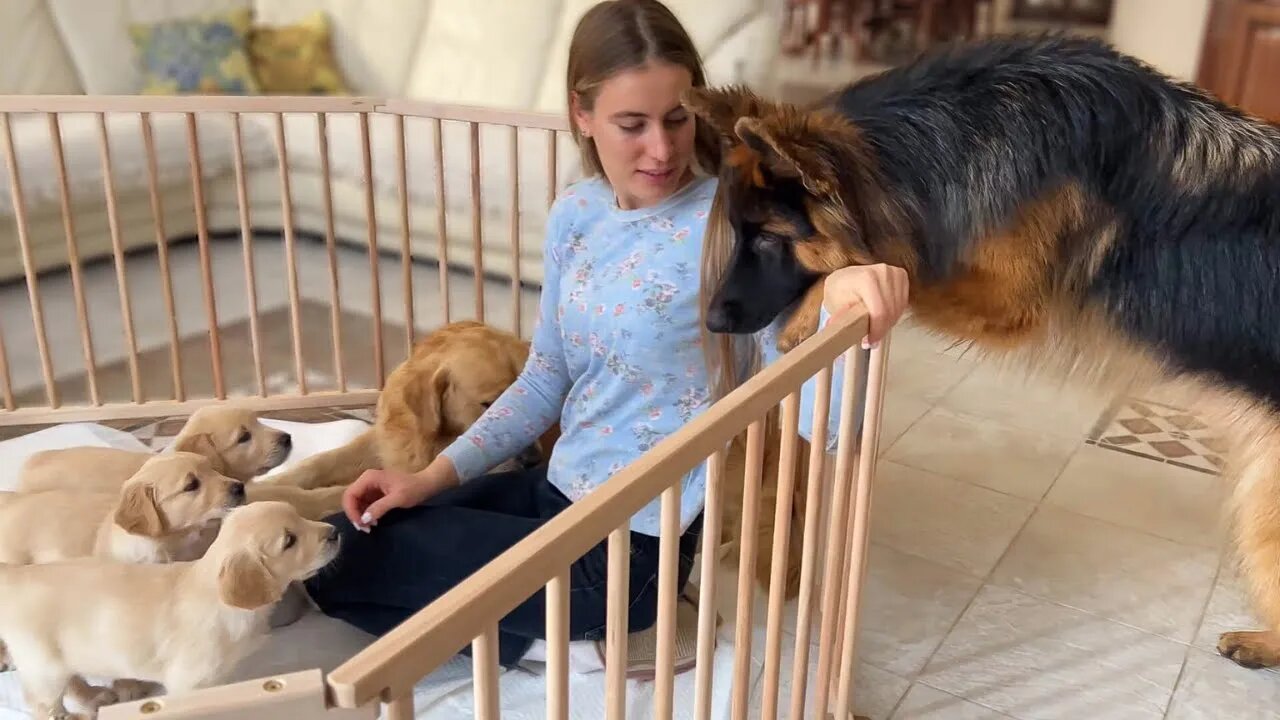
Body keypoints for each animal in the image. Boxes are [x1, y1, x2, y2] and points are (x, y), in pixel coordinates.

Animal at [0, 499, 343, 717]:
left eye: (299, 516)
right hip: (45, 665)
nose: (335, 532)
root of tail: (14, 576)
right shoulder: (188, 683)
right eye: (289, 541)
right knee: (44, 703)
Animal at [691, 33, 1280, 671]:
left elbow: (896, 264)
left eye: (767, 240)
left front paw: (810, 314)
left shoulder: (1002, 299)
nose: (711, 319)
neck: (944, 140)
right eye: (736, 233)